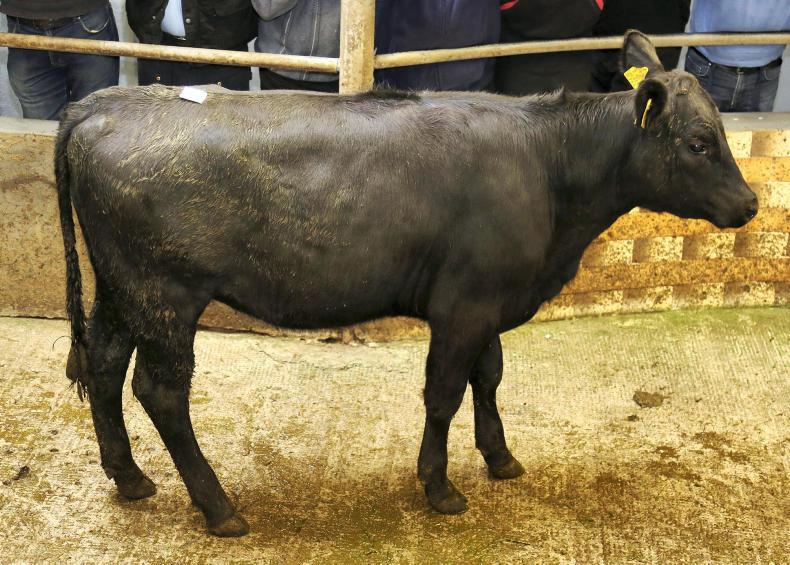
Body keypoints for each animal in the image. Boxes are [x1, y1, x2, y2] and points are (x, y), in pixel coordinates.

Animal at [55, 31, 757, 537]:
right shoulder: (463, 304)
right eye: (699, 142)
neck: (549, 167)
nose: (749, 204)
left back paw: (129, 477)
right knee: (161, 391)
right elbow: (443, 392)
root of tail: (103, 104)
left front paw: (500, 459)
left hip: (120, 287)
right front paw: (440, 488)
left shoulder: (489, 296)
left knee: (105, 365)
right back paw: (219, 509)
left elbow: (488, 376)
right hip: (165, 294)